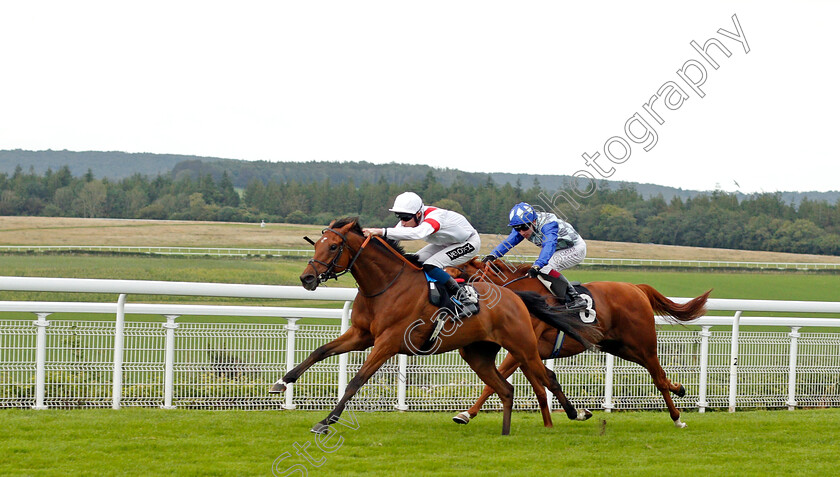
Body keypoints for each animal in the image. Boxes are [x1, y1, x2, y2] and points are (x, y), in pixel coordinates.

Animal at [270, 219, 604, 436]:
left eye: (334, 246)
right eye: (317, 244)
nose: (306, 278)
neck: (386, 286)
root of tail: (515, 295)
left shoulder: (388, 342)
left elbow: (357, 380)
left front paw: (327, 421)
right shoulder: (361, 335)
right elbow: (319, 351)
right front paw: (282, 382)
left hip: (523, 346)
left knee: (545, 376)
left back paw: (575, 412)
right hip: (477, 353)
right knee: (507, 388)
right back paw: (504, 431)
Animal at [446, 256, 708, 428]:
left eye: (458, 270)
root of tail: (636, 287)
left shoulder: (521, 349)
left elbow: (495, 381)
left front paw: (466, 414)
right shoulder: (524, 353)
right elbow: (517, 385)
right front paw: (465, 415)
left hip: (643, 345)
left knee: (658, 378)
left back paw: (677, 418)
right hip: (620, 347)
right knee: (660, 375)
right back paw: (680, 388)